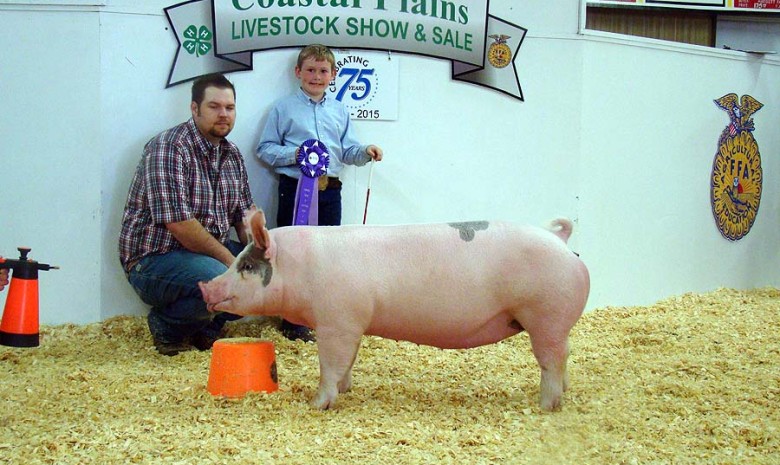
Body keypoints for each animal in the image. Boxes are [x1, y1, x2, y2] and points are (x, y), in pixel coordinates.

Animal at [201, 209, 592, 410]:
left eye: (246, 266)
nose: (206, 286)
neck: (301, 267)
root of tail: (561, 241)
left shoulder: (337, 321)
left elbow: (331, 364)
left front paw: (317, 404)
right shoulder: (353, 322)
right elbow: (348, 361)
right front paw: (346, 390)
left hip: (546, 316)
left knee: (552, 360)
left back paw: (546, 406)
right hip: (555, 323)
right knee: (564, 356)